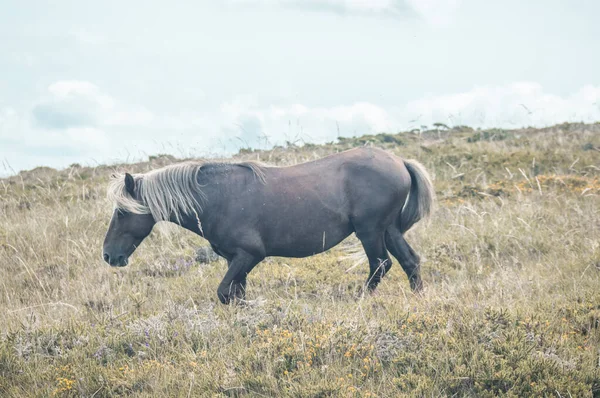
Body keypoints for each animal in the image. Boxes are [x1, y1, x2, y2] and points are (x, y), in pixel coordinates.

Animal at [102, 148, 432, 304]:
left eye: (121, 212)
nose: (108, 255)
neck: (216, 198)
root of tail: (400, 162)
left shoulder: (249, 255)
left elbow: (225, 293)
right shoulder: (236, 260)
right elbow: (235, 294)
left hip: (370, 231)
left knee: (380, 265)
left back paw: (360, 299)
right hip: (388, 230)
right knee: (409, 261)